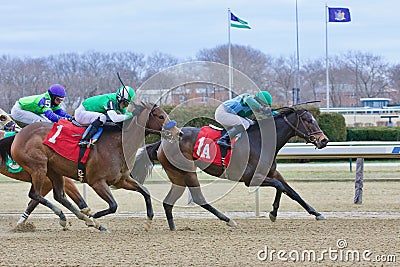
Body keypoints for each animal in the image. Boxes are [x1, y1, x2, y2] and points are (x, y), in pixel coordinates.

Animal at [0, 102, 180, 232]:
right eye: (160, 116)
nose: (178, 133)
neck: (116, 144)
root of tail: (18, 135)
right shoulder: (97, 182)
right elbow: (113, 206)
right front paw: (94, 216)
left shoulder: (121, 180)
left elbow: (145, 192)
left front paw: (148, 221)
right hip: (39, 168)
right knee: (35, 194)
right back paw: (74, 218)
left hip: (54, 171)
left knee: (58, 196)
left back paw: (81, 219)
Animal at [131, 108, 328, 231]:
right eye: (308, 120)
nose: (324, 140)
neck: (260, 141)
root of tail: (163, 141)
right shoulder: (251, 178)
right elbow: (280, 187)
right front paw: (273, 213)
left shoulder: (272, 173)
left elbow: (292, 192)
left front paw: (317, 213)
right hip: (187, 172)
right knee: (198, 198)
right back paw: (228, 220)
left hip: (177, 176)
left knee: (168, 202)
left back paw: (173, 228)